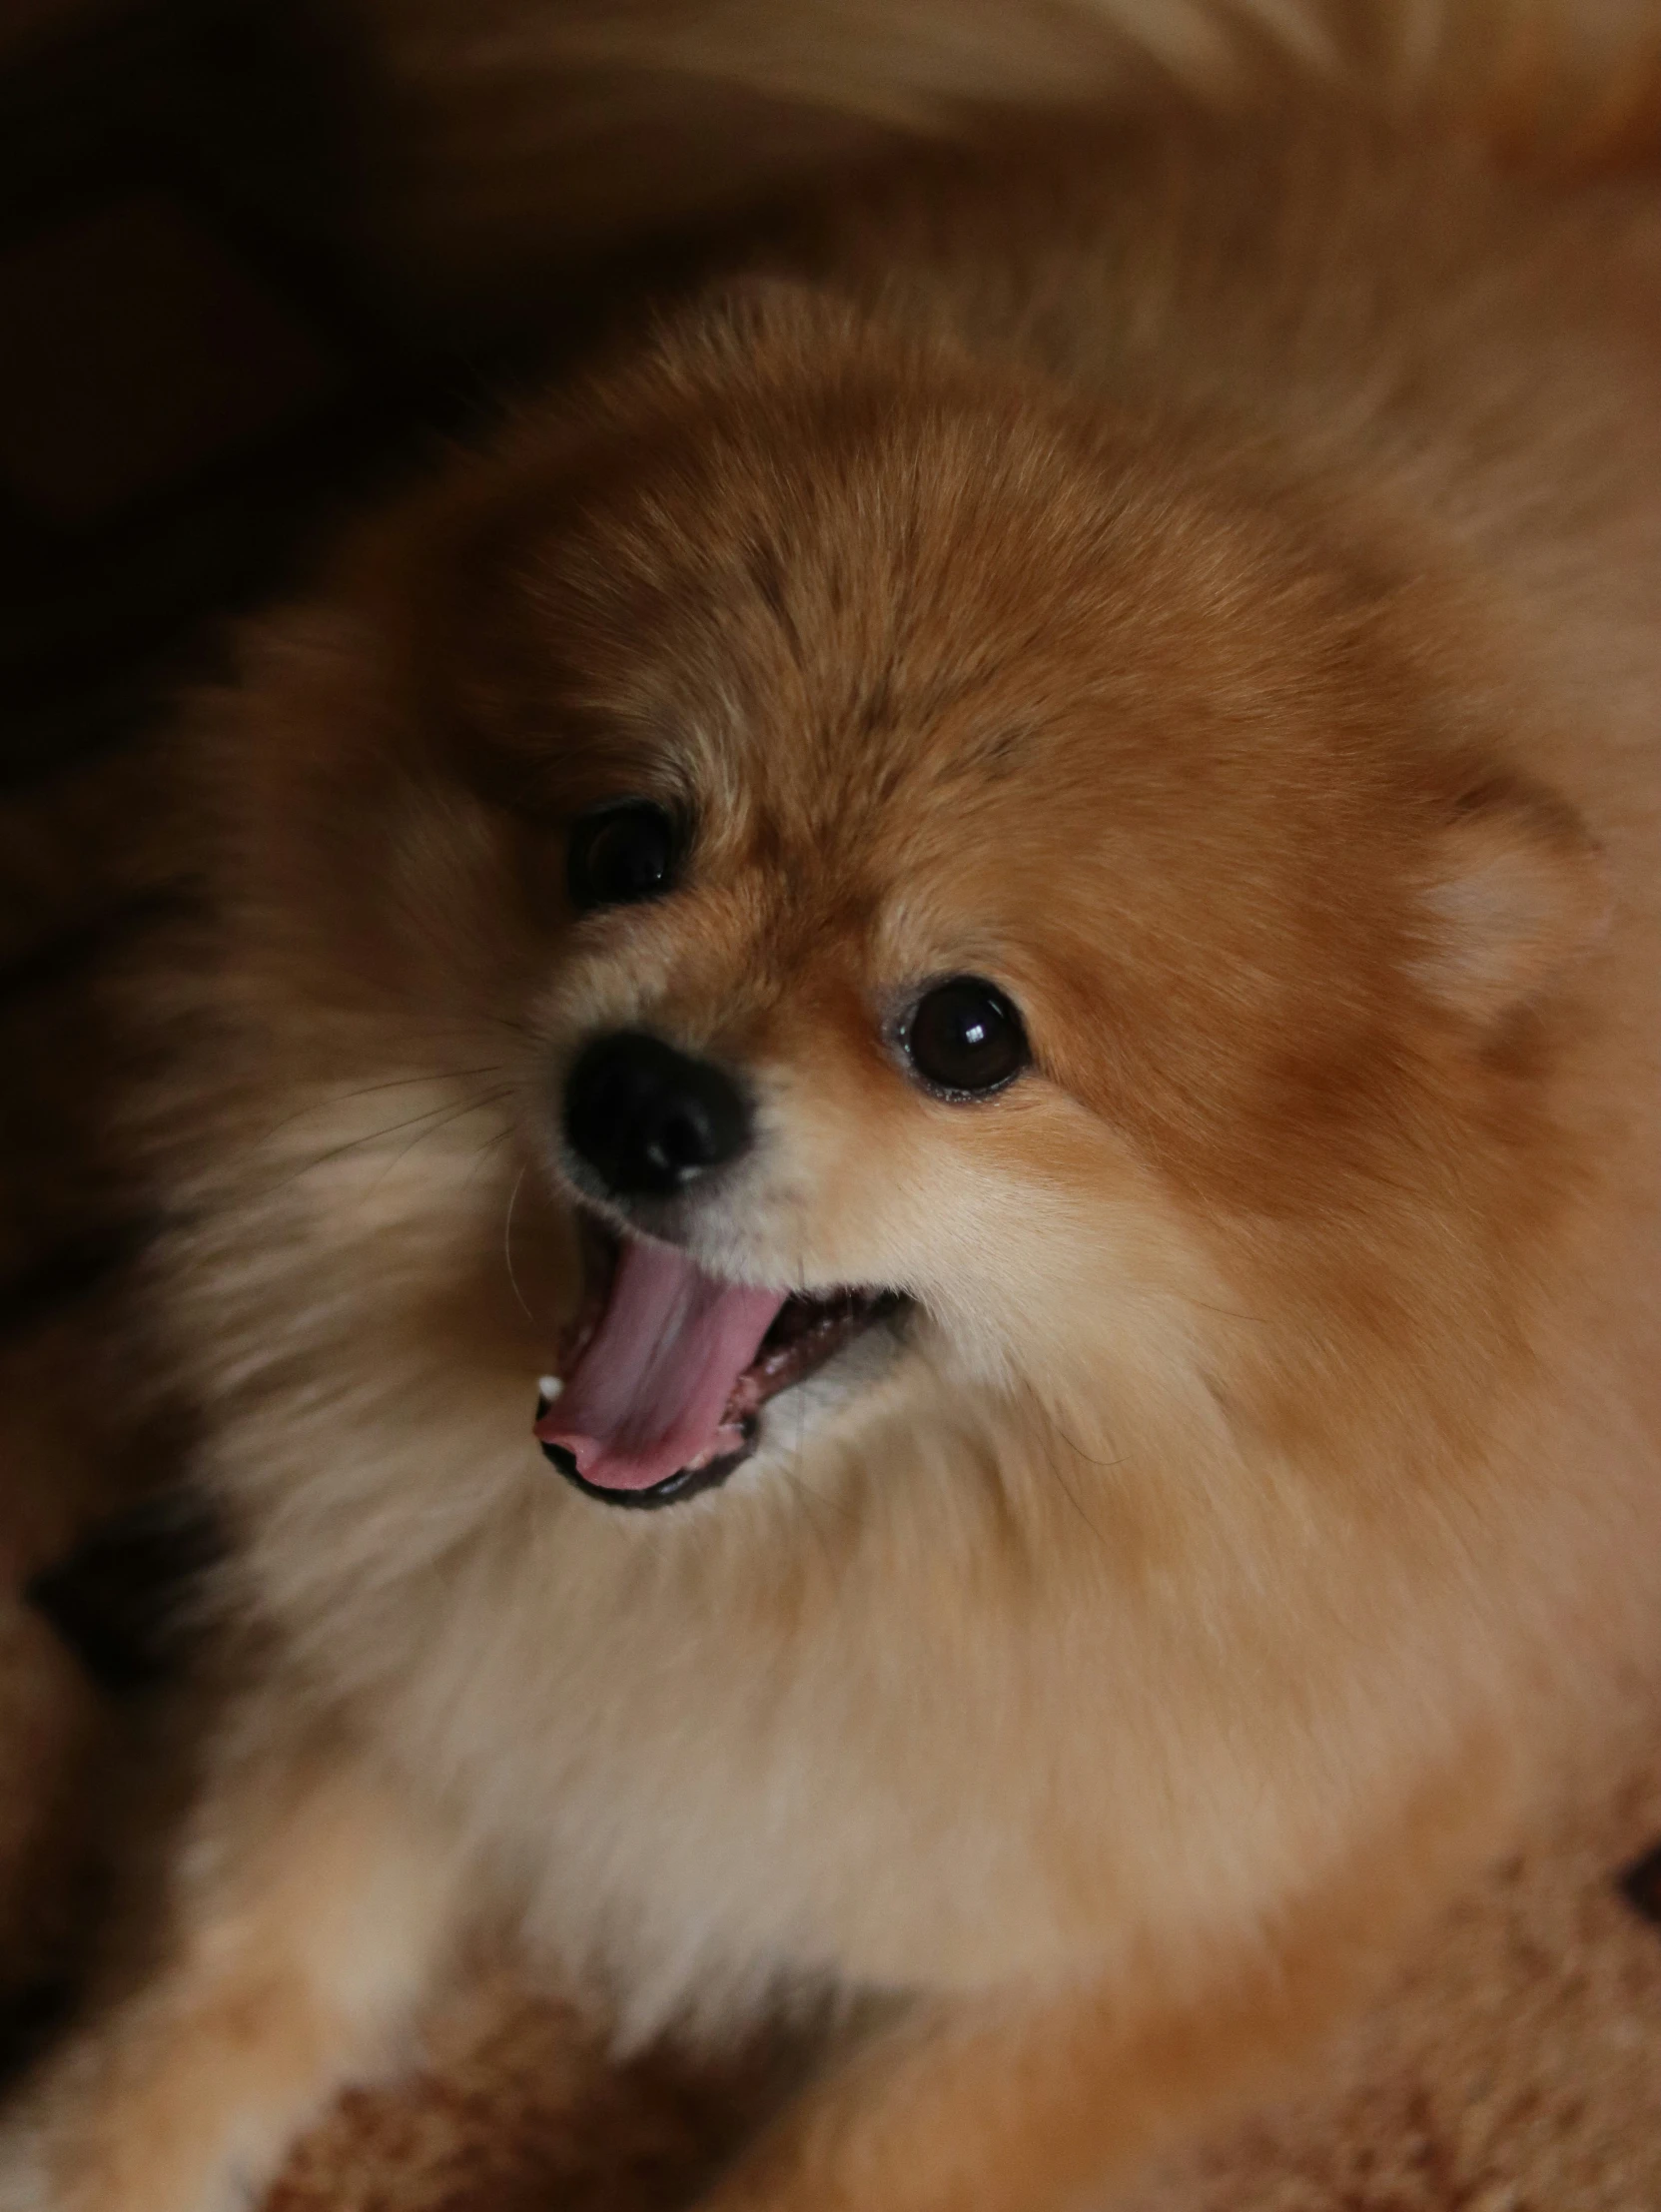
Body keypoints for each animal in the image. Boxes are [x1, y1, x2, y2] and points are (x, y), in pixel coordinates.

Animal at [3, 4, 1661, 2212]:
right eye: (622, 846)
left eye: (965, 1035)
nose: (643, 1098)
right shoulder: (403, 1620)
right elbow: (246, 1948)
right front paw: (87, 2142)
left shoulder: (1212, 1898)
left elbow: (867, 2150)